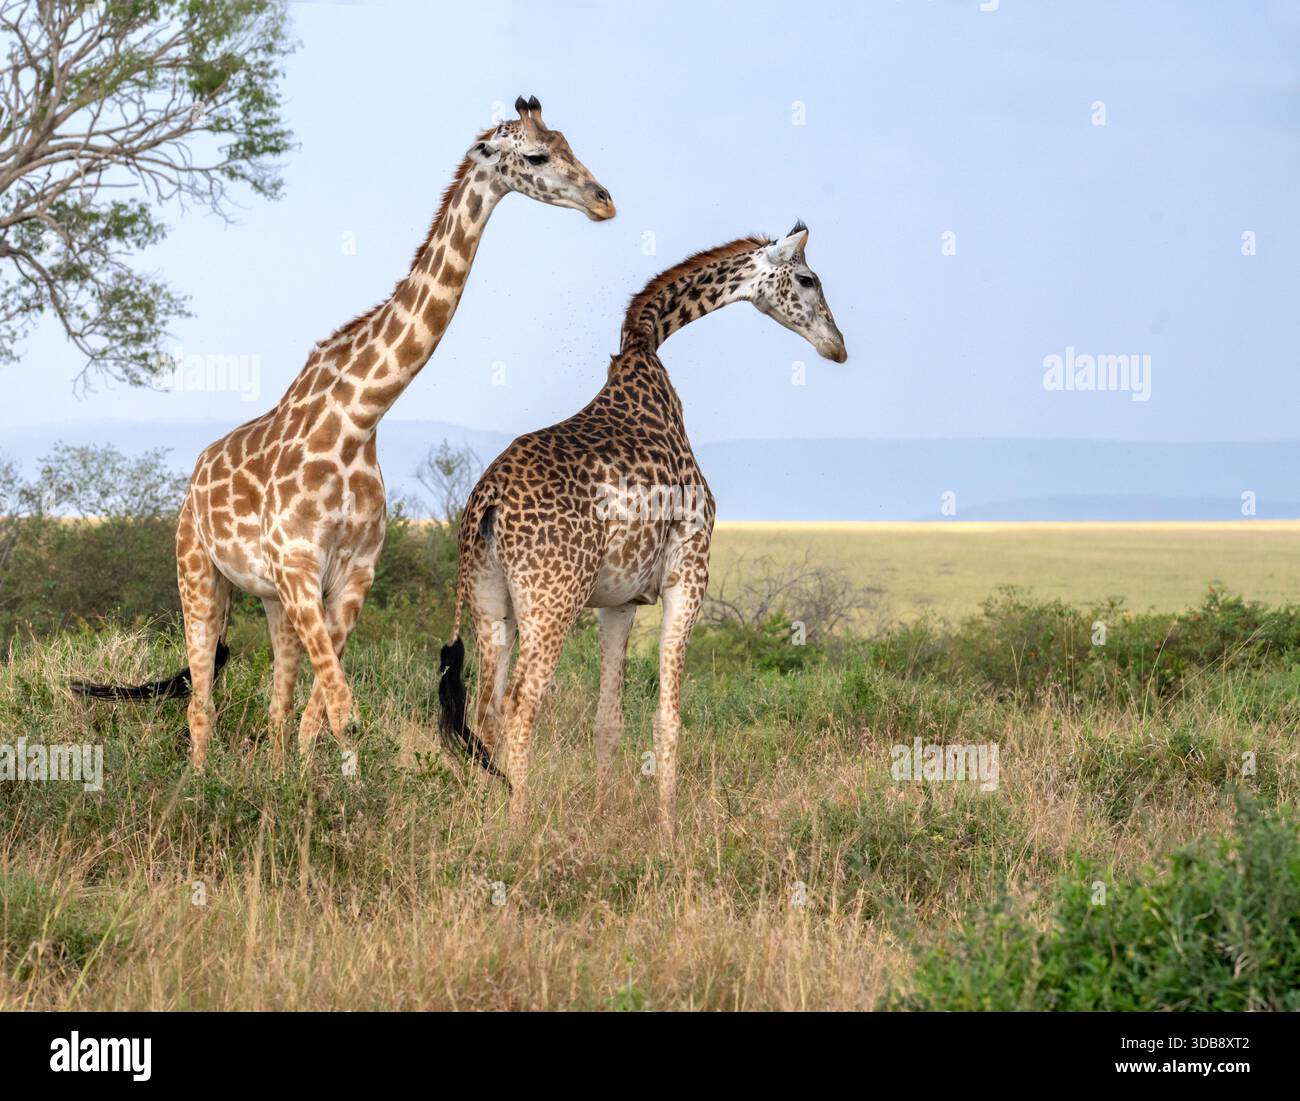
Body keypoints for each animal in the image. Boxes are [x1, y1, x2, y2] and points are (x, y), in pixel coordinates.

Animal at [71, 96, 615, 771]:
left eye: (569, 142)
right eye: (538, 156)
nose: (603, 200)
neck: (358, 418)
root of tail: (196, 473)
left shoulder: (352, 575)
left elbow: (320, 716)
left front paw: (309, 790)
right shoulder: (300, 566)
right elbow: (344, 714)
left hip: (272, 599)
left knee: (276, 711)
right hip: (198, 572)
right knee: (201, 704)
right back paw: (198, 783)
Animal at [438, 223, 847, 835]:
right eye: (807, 278)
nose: (837, 345)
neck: (645, 347)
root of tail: (485, 503)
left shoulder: (619, 600)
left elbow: (608, 719)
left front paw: (604, 815)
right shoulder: (689, 575)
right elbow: (668, 716)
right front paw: (668, 829)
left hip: (491, 604)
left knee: (485, 709)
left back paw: (485, 815)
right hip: (551, 601)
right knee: (519, 706)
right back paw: (517, 825)